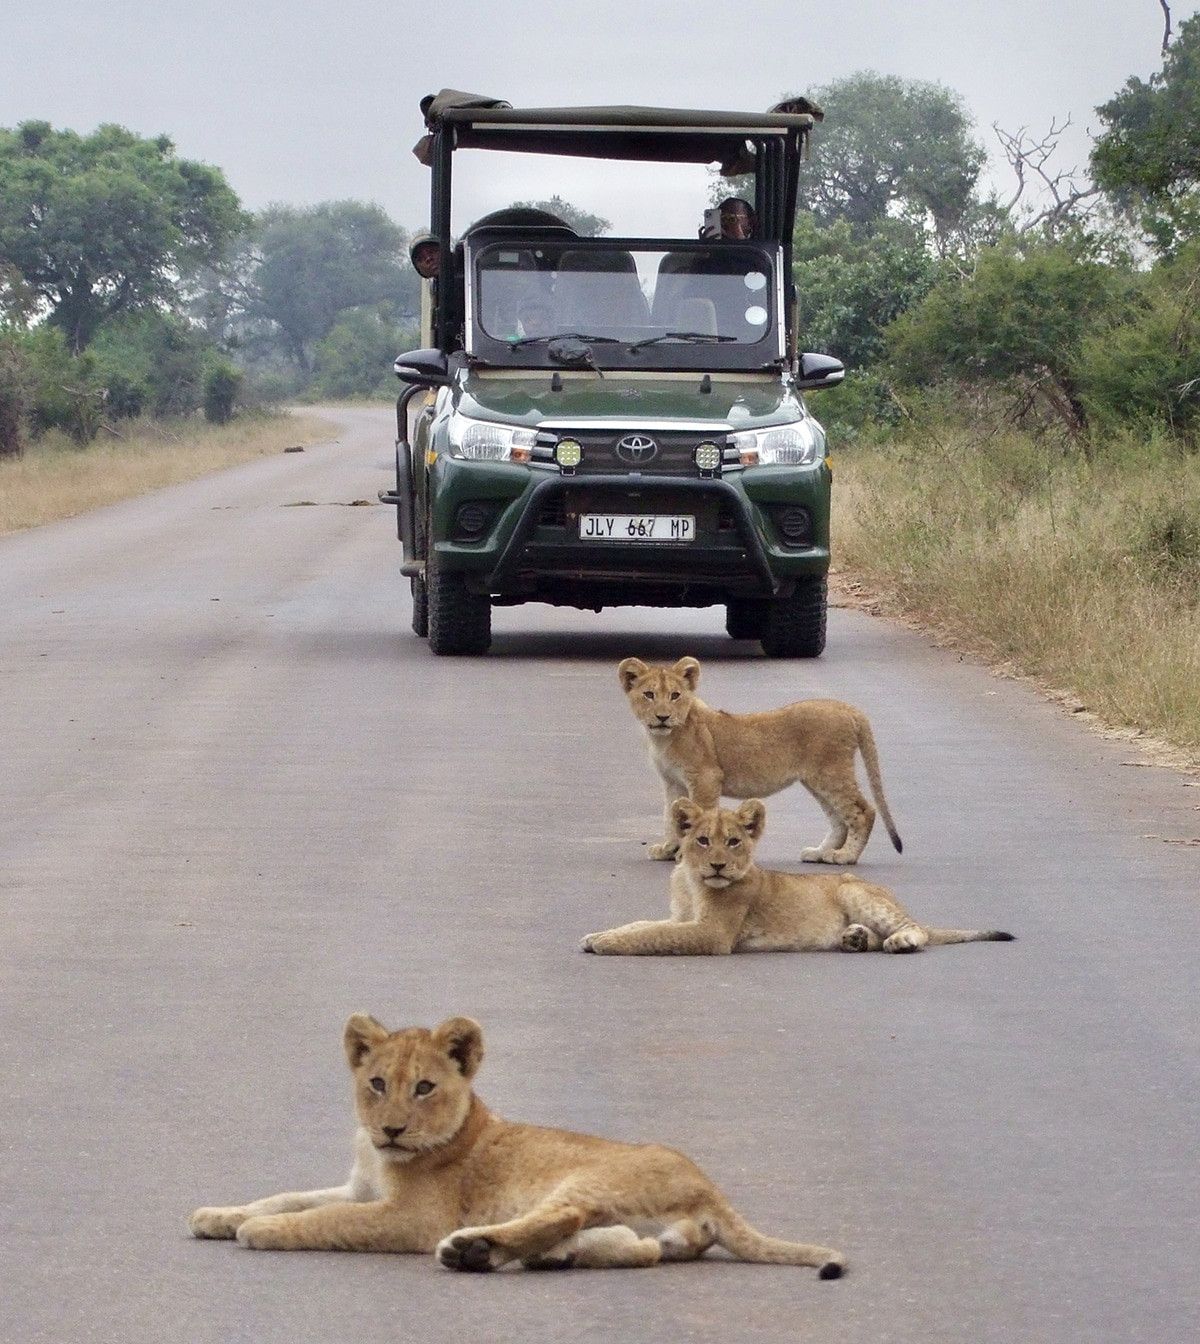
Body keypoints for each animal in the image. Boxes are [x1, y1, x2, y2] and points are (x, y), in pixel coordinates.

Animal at [189, 1014, 846, 1276]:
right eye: (376, 1084)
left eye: (424, 1087)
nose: (391, 1130)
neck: (381, 1156)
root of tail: (710, 1187)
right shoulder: (359, 1186)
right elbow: (287, 1196)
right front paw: (220, 1215)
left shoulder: (412, 1217)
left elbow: (324, 1219)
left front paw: (261, 1232)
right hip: (642, 1225)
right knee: (640, 1249)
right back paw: (541, 1257)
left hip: (586, 1179)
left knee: (567, 1217)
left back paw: (472, 1251)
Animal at [581, 798, 1013, 955]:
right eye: (703, 840)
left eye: (734, 842)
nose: (718, 866)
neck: (690, 880)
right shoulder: (682, 917)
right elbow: (642, 923)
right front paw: (595, 934)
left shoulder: (713, 933)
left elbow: (653, 934)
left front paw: (606, 943)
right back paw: (855, 939)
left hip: (855, 892)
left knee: (915, 929)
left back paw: (899, 941)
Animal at [618, 656, 902, 865]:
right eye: (649, 695)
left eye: (675, 695)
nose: (663, 717)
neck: (663, 738)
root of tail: (849, 709)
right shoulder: (673, 782)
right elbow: (671, 816)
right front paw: (667, 848)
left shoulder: (705, 778)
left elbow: (699, 815)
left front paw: (686, 854)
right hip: (816, 779)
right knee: (838, 819)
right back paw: (820, 853)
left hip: (832, 771)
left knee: (863, 811)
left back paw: (846, 856)